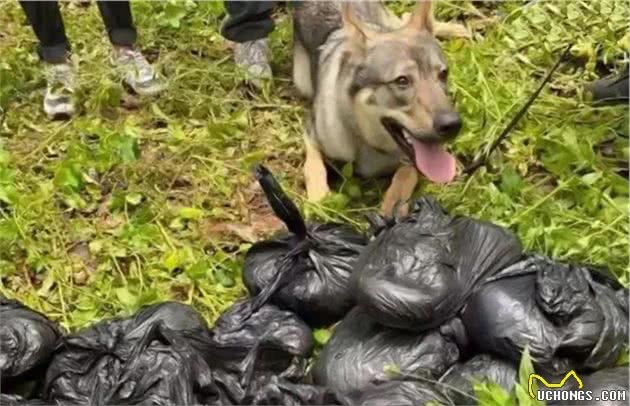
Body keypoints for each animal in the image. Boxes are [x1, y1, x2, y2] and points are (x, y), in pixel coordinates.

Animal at [292, 0, 470, 214]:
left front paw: (394, 200)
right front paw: (319, 198)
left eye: (443, 74)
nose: (453, 125)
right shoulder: (311, 131)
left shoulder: (411, 160)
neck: (367, 141)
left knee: (405, 17)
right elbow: (313, 165)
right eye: (402, 81)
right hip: (301, 80)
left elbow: (406, 174)